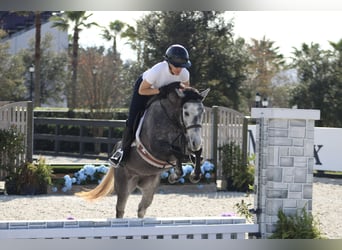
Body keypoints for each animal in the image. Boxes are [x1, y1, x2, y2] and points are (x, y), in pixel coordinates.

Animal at [77, 82, 208, 219]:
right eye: (186, 112)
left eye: (202, 112)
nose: (196, 142)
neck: (171, 119)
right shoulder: (156, 149)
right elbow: (176, 153)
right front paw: (175, 176)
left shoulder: (186, 143)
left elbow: (195, 152)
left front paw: (194, 175)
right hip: (124, 184)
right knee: (120, 209)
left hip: (149, 187)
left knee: (141, 209)